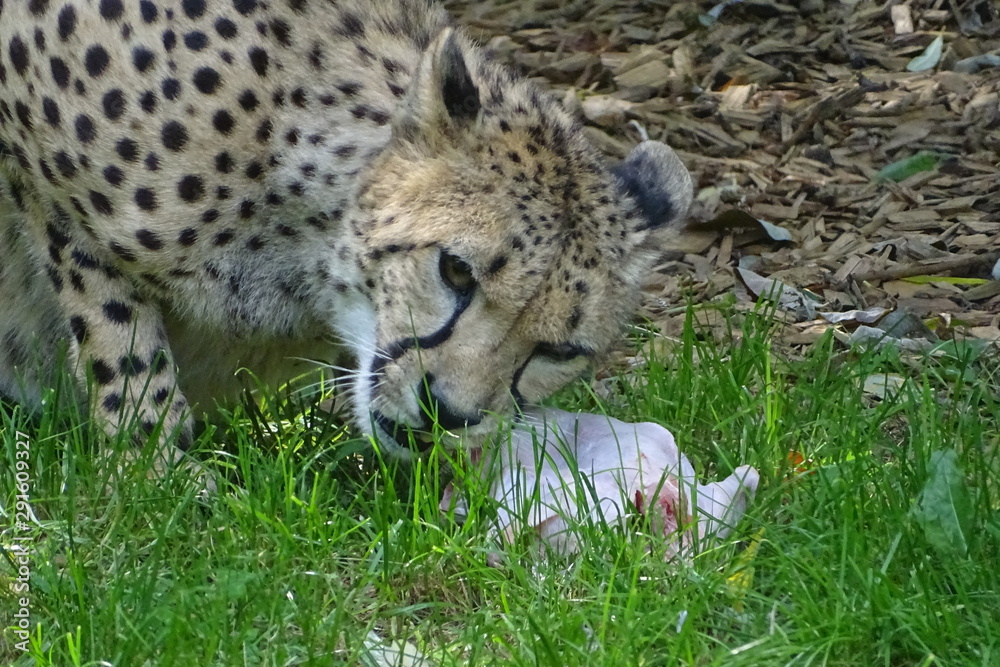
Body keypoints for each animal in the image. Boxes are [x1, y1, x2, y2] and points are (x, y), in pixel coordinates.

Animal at [0, 0, 693, 473]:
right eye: (456, 271)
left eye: (556, 350)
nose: (448, 413)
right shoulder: (46, 176)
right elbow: (121, 337)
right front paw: (155, 466)